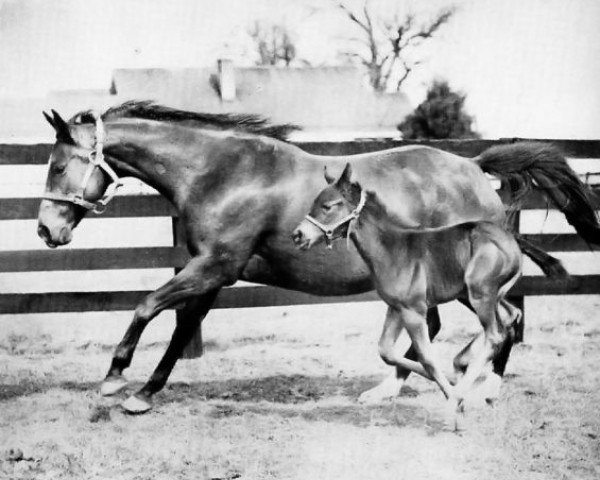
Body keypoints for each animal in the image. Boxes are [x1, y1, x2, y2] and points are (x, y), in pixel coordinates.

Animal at [292, 165, 524, 424]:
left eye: (328, 206)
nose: (298, 235)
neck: (393, 248)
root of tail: (513, 246)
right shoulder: (395, 308)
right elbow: (385, 351)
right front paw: (452, 383)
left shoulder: (413, 310)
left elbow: (426, 356)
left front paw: (454, 398)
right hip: (481, 295)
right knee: (511, 316)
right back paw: (465, 367)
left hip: (480, 294)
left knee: (495, 333)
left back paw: (461, 389)